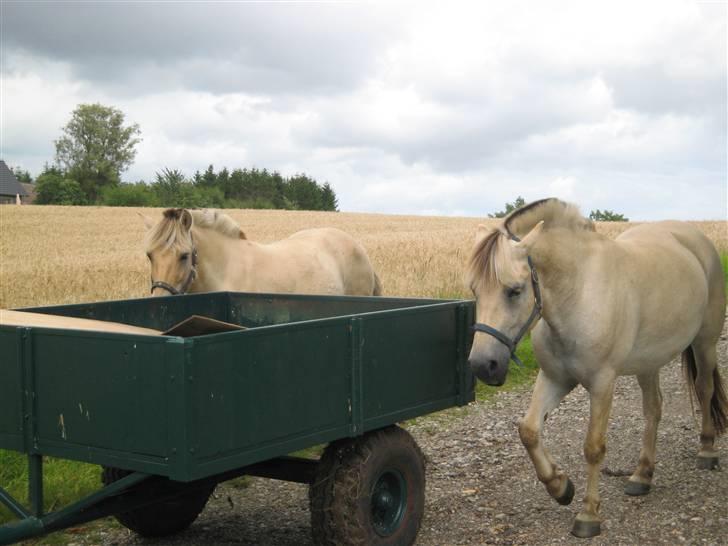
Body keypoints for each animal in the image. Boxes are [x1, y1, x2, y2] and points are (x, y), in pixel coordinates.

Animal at [466, 199, 728, 536]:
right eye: (474, 290)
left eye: (514, 290)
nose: (482, 365)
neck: (578, 292)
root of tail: (698, 241)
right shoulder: (554, 378)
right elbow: (529, 431)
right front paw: (560, 487)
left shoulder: (603, 384)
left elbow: (593, 447)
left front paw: (588, 514)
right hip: (649, 362)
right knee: (653, 409)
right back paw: (642, 475)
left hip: (704, 343)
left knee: (704, 390)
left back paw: (707, 451)